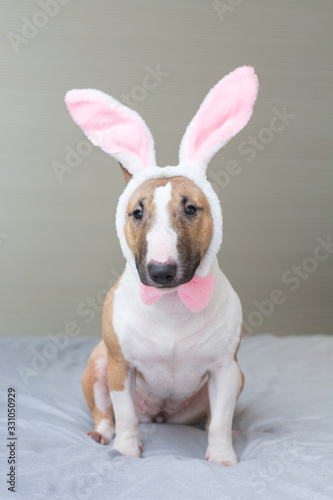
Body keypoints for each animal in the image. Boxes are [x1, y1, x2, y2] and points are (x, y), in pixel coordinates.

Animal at [64, 65, 256, 464]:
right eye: (137, 212)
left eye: (191, 209)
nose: (161, 272)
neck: (172, 304)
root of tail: (160, 414)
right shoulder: (120, 365)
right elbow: (123, 415)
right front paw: (126, 450)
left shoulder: (226, 369)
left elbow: (220, 420)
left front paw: (222, 457)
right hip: (97, 363)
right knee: (105, 411)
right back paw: (103, 434)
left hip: (235, 379)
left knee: (213, 418)